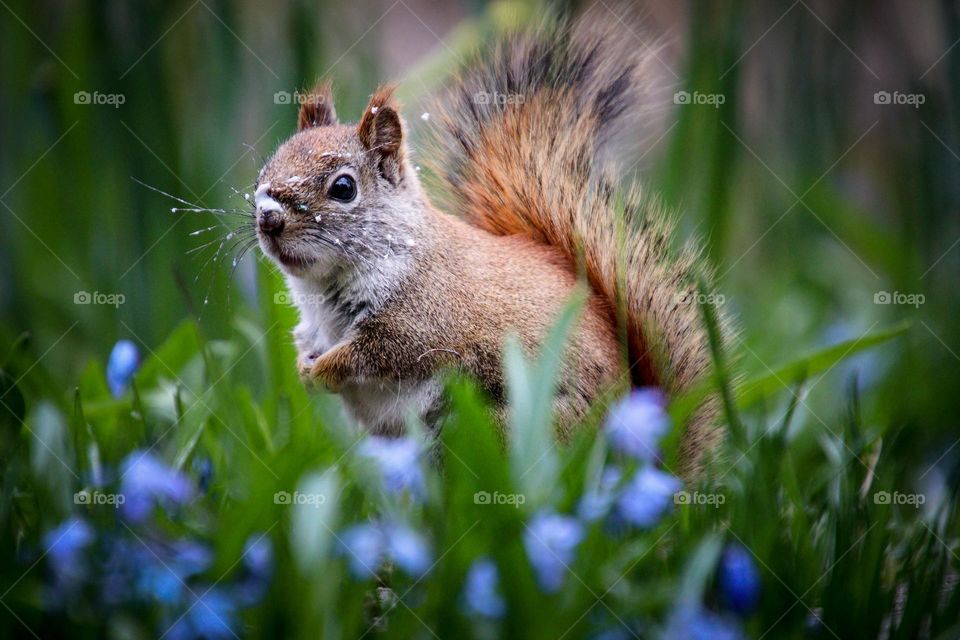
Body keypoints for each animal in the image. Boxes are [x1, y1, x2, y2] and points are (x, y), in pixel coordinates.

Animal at [253, 18, 722, 475]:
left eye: (344, 188)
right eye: (266, 169)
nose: (268, 218)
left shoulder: (423, 320)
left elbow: (374, 355)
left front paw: (325, 369)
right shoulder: (314, 325)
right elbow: (308, 343)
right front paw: (304, 369)